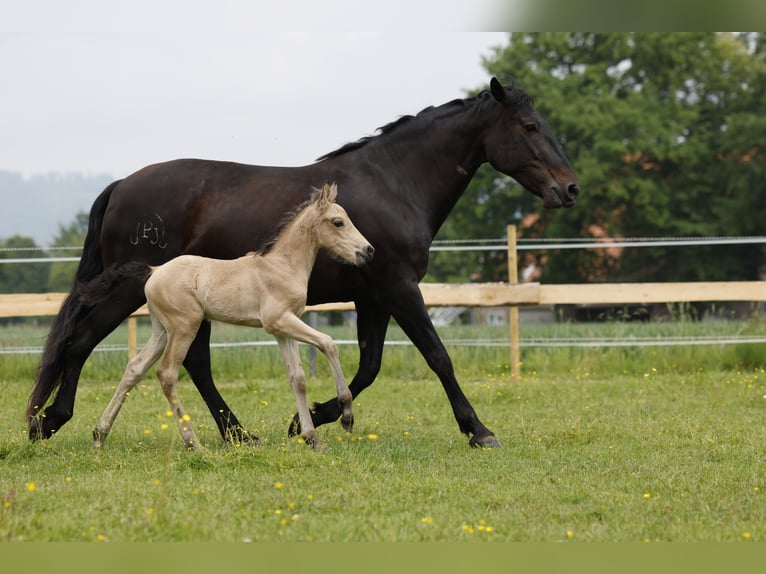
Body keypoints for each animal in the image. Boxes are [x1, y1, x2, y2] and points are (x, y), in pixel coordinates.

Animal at [30, 76, 584, 448]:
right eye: (530, 126)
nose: (571, 189)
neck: (394, 182)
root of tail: (121, 185)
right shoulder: (399, 288)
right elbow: (437, 356)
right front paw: (479, 430)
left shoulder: (371, 298)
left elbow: (369, 365)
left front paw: (308, 419)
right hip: (129, 293)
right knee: (82, 342)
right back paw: (47, 421)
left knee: (192, 363)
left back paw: (238, 434)